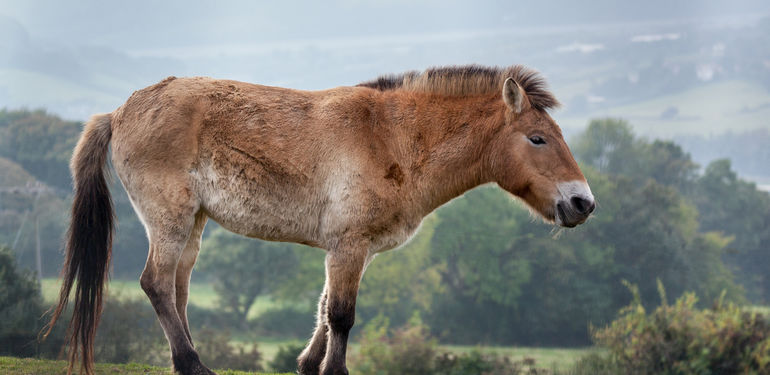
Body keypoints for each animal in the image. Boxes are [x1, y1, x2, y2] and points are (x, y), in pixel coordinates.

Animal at [45, 65, 592, 375]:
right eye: (538, 139)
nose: (583, 203)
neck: (391, 137)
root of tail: (118, 112)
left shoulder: (356, 250)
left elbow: (327, 307)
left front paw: (308, 364)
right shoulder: (348, 246)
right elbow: (342, 315)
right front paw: (334, 371)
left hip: (193, 225)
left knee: (177, 291)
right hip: (171, 220)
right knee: (156, 284)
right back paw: (193, 365)